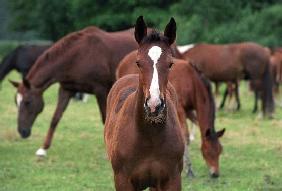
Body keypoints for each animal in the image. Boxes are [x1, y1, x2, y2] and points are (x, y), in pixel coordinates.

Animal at [11, 25, 139, 157]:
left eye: (28, 102)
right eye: (16, 102)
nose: (22, 131)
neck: (78, 55)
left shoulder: (101, 90)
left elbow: (105, 119)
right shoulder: (66, 90)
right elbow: (55, 118)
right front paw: (43, 148)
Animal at [104, 16, 184, 191]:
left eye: (170, 63)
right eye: (138, 62)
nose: (154, 105)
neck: (149, 136)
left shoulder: (172, 180)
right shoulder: (123, 181)